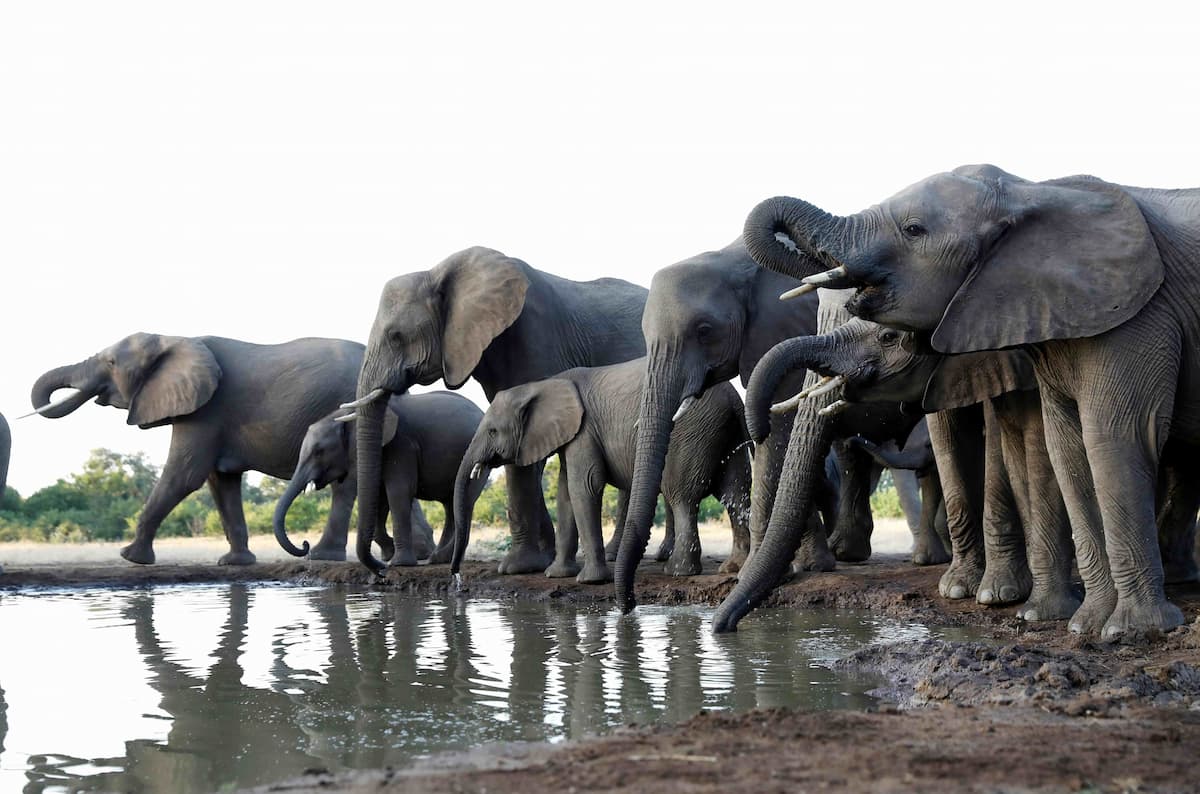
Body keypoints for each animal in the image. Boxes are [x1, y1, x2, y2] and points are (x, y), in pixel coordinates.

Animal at [30, 333, 366, 565]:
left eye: (111, 363)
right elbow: (221, 482)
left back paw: (321, 556)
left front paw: (131, 557)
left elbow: (184, 476)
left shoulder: (206, 410)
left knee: (346, 485)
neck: (171, 339)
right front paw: (234, 564)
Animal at [274, 391, 485, 567]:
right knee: (451, 506)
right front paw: (389, 553)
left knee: (462, 503)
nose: (305, 544)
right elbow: (380, 495)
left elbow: (397, 492)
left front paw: (398, 563)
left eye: (319, 452)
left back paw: (440, 558)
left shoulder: (401, 445)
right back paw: (440, 559)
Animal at [346, 246, 648, 576]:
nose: (381, 570)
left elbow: (522, 459)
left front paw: (517, 567)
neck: (438, 273)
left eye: (396, 336)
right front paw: (540, 559)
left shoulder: (534, 337)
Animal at [452, 357, 752, 584]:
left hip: (691, 432)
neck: (543, 384)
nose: (456, 577)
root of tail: (735, 399)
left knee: (682, 498)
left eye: (493, 431)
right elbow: (566, 494)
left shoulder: (585, 430)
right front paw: (557, 575)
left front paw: (590, 580)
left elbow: (584, 486)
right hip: (723, 432)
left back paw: (678, 571)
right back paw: (732, 567)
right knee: (734, 494)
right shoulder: (572, 436)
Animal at [743, 165, 1200, 638]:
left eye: (913, 229)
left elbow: (1108, 437)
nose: (757, 428)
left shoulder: (1138, 317)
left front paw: (1126, 630)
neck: (1026, 193)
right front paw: (1072, 622)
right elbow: (1063, 451)